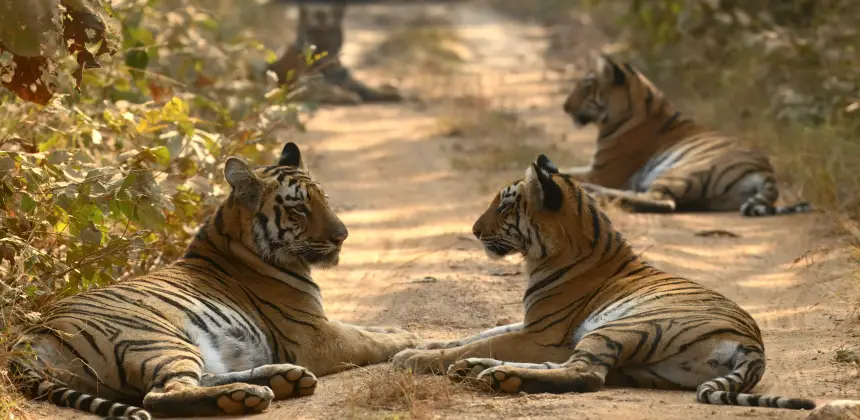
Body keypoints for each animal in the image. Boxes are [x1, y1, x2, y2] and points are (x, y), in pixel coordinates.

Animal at [8, 142, 419, 419]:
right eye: (300, 209)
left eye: (324, 199)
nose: (342, 236)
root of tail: (33, 337)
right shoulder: (313, 336)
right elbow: (364, 339)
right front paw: (409, 339)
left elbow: (367, 327)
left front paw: (399, 331)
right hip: (154, 338)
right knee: (161, 395)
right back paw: (246, 396)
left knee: (193, 380)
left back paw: (280, 380)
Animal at [392, 154, 816, 411]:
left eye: (505, 205)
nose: (475, 231)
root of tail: (754, 346)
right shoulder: (532, 325)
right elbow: (480, 333)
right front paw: (426, 345)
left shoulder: (541, 334)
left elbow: (485, 337)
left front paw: (414, 357)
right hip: (638, 364)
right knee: (573, 368)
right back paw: (477, 368)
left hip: (623, 327)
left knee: (586, 375)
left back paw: (496, 375)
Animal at [559, 54, 811, 217]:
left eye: (587, 86)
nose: (565, 107)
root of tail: (766, 171)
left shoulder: (603, 172)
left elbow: (568, 169)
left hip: (681, 169)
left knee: (663, 202)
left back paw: (592, 192)